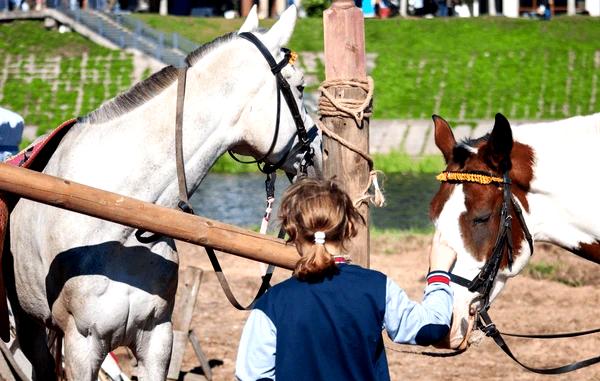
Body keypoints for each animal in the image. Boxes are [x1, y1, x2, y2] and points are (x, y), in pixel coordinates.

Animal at [7, 5, 322, 378]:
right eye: (300, 86)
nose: (319, 150)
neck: (118, 217)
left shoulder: (157, 340)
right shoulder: (83, 346)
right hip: (30, 330)